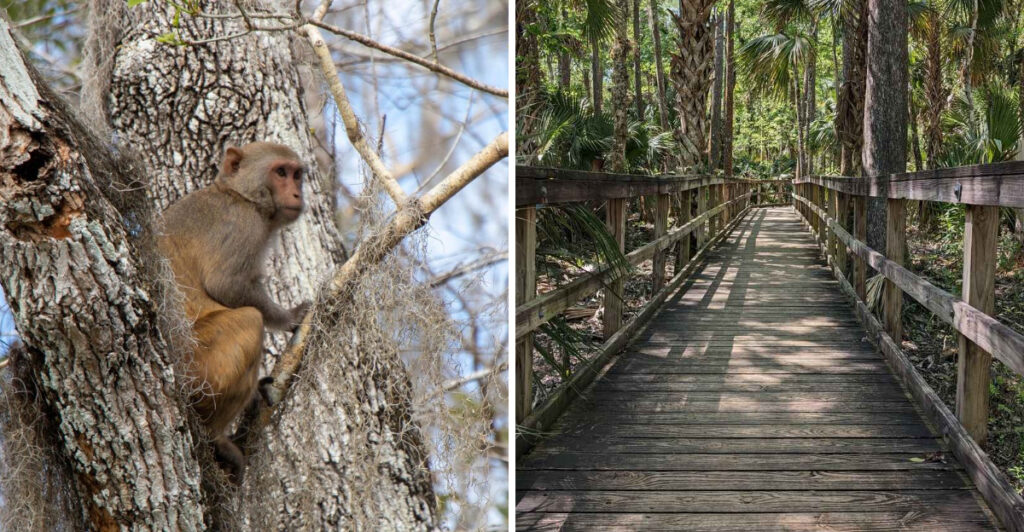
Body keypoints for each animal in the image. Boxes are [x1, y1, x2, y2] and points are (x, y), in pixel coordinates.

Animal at [158, 142, 310, 481]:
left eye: (297, 175)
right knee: (250, 320)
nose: (297, 194)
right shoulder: (244, 226)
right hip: (198, 370)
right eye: (281, 172)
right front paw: (290, 318)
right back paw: (215, 437)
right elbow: (225, 285)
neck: (240, 195)